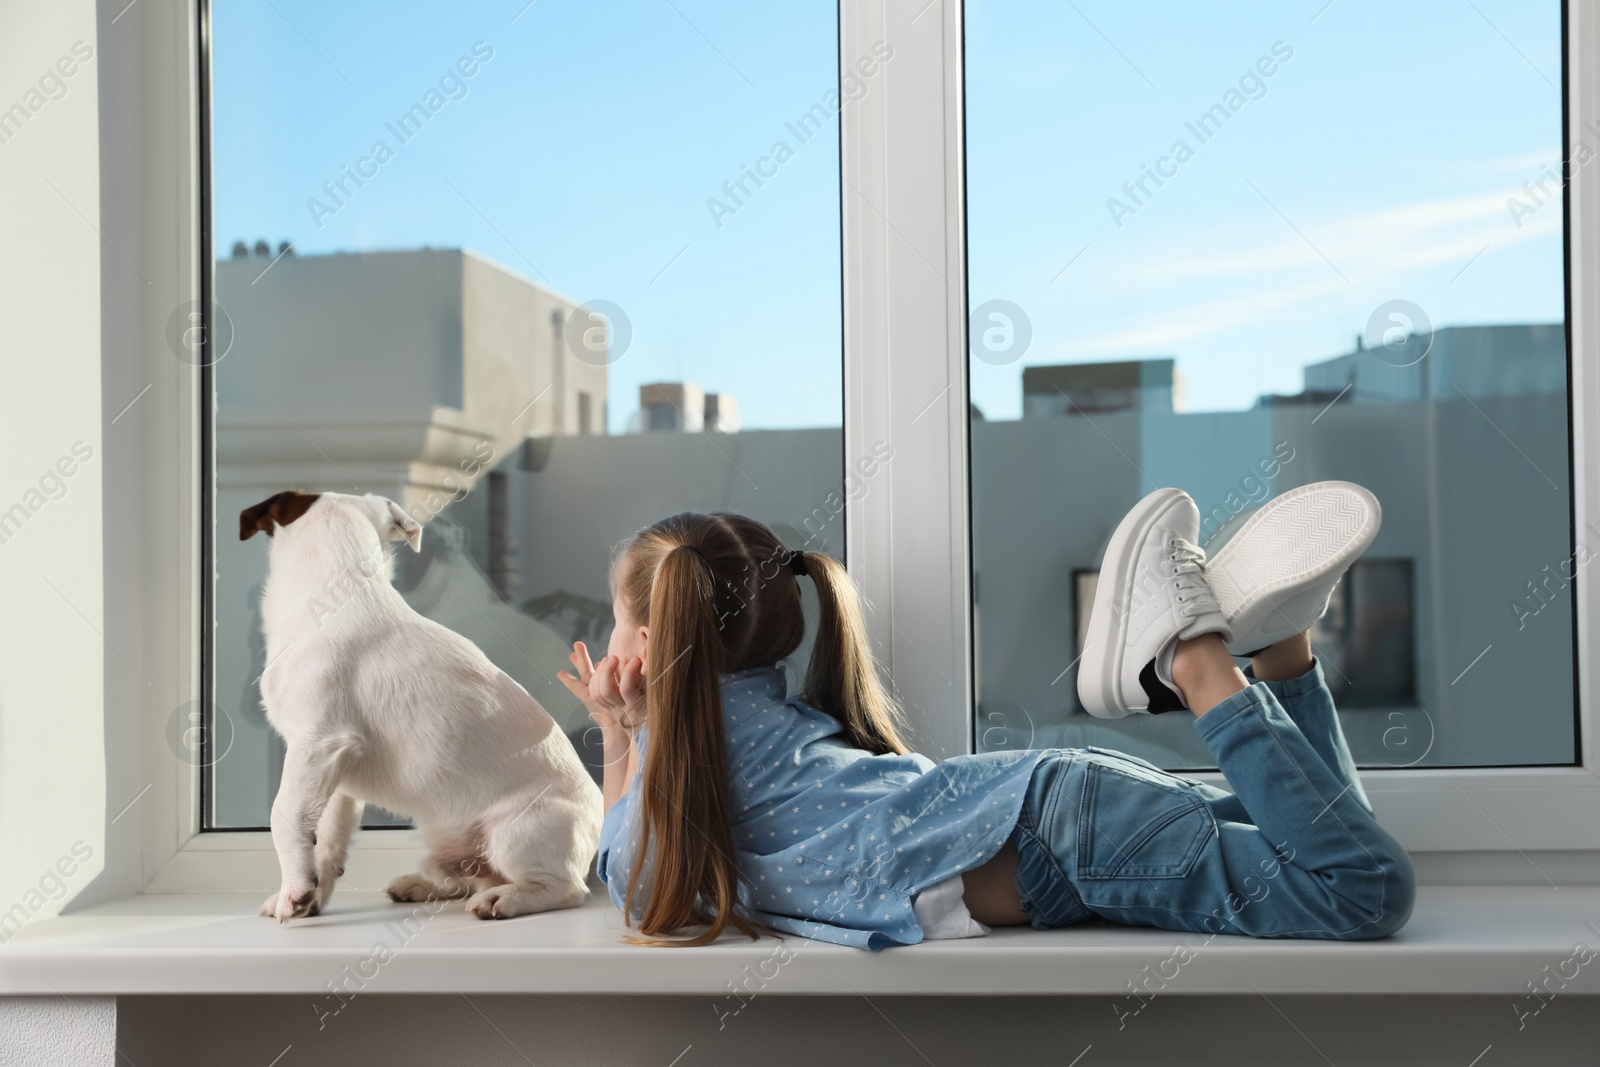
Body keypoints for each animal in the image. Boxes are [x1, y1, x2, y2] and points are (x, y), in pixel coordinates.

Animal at [240, 489, 601, 921]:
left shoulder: (316, 743)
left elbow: (285, 816)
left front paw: (294, 892)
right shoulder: (339, 779)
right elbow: (327, 842)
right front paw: (313, 896)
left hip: (516, 832)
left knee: (564, 889)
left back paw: (505, 900)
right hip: (444, 840)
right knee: (466, 878)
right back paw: (422, 885)